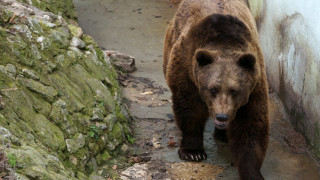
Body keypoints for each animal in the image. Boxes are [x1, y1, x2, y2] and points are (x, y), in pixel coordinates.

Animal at [164, 0, 268, 179]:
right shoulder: (188, 70)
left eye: (235, 91)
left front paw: (252, 172)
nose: (222, 117)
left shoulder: (254, 87)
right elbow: (190, 109)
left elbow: (251, 126)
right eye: (213, 89)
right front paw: (193, 152)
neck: (225, 43)